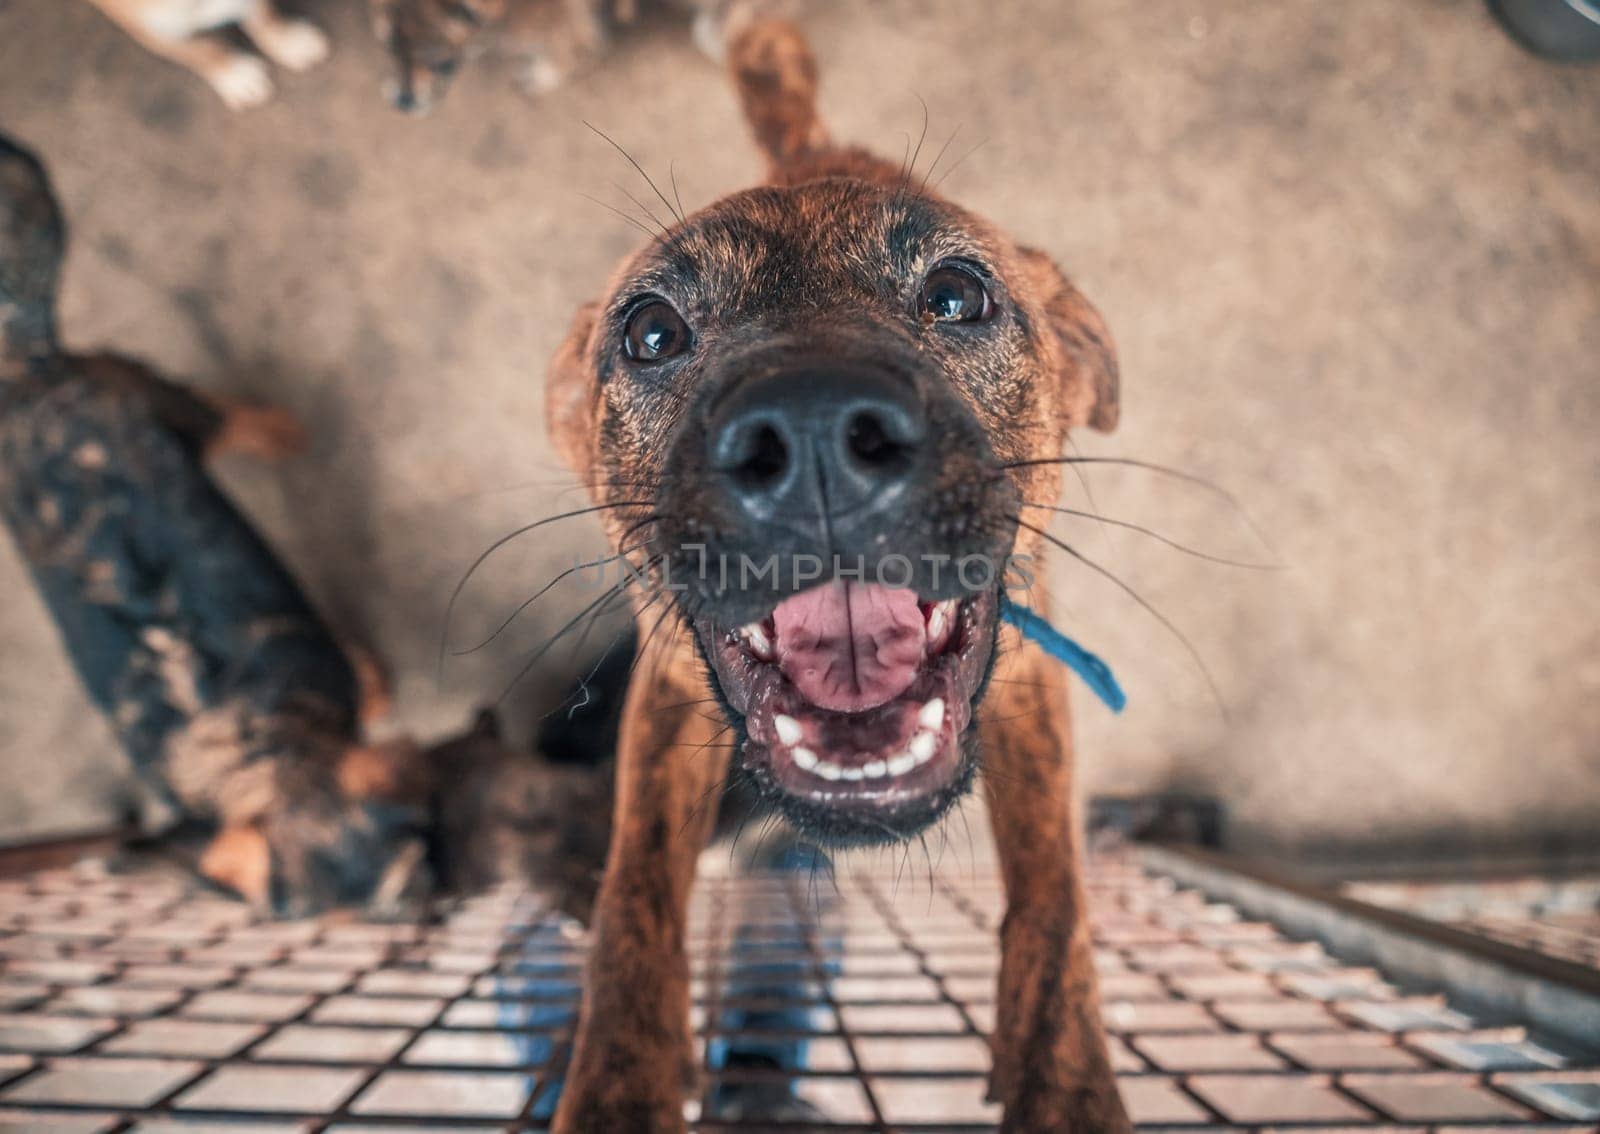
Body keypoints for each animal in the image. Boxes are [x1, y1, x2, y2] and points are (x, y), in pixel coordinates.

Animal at [544, 17, 1132, 1132]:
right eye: (651, 332)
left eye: (957, 295)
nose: (814, 434)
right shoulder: (668, 691)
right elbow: (633, 894)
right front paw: (620, 1076)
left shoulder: (1032, 679)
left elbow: (1053, 898)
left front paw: (1066, 1082)